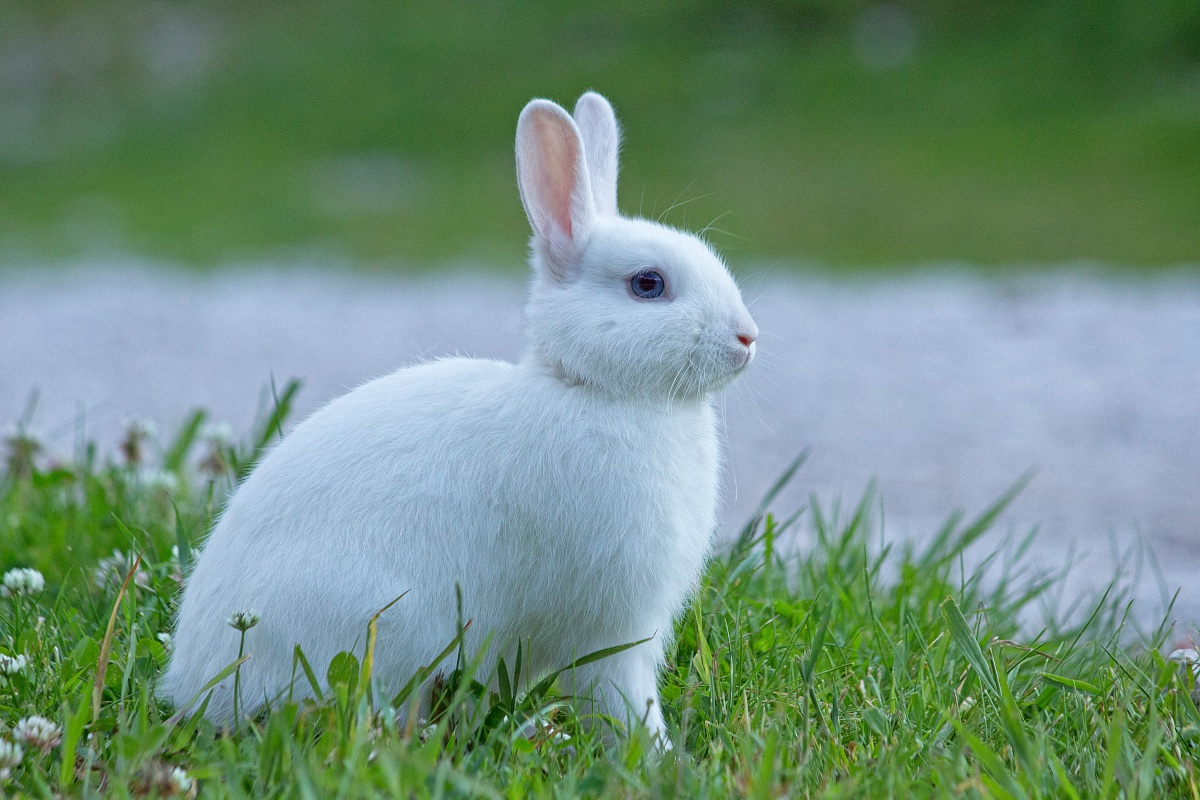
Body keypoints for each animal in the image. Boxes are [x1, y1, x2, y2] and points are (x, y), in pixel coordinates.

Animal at [161, 91, 758, 746]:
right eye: (648, 285)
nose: (747, 337)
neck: (591, 387)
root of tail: (195, 684)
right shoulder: (612, 631)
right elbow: (621, 700)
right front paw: (655, 755)